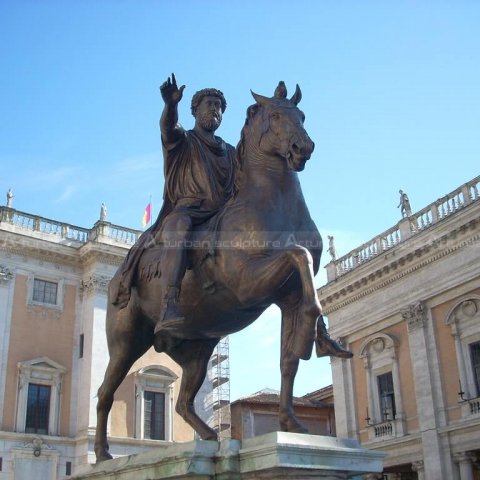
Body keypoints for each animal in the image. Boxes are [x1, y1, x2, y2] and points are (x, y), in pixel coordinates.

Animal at [94, 81, 352, 462]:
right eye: (276, 116)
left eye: (301, 116)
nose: (302, 148)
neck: (271, 205)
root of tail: (118, 278)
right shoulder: (248, 285)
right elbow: (298, 254)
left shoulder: (287, 298)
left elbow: (289, 359)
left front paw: (290, 420)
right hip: (126, 343)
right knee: (105, 393)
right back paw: (101, 454)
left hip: (198, 353)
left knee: (183, 404)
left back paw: (210, 437)